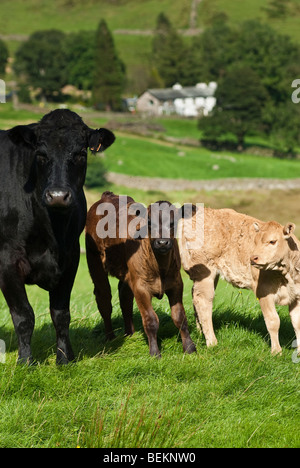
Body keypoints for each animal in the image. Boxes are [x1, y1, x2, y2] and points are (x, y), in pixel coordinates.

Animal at [0, 110, 115, 366]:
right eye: (41, 154)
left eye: (81, 153)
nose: (58, 196)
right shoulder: (7, 260)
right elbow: (24, 315)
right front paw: (26, 361)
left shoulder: (70, 257)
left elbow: (61, 313)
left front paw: (64, 357)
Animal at [85, 192, 197, 356]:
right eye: (149, 222)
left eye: (173, 222)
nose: (162, 242)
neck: (159, 269)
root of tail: (108, 195)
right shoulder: (141, 287)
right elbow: (150, 320)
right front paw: (155, 352)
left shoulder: (176, 284)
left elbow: (180, 317)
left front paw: (189, 347)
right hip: (95, 262)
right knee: (104, 299)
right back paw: (111, 338)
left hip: (127, 274)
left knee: (125, 298)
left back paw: (130, 334)